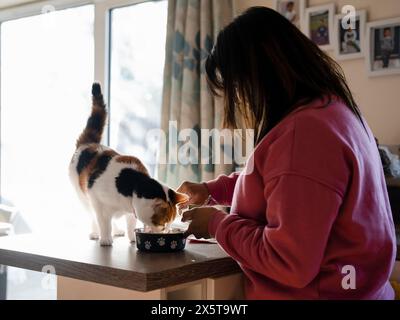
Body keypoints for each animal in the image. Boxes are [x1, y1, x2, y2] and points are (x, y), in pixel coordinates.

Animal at [69, 82, 188, 245]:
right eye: (163, 224)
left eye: (169, 224)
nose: (166, 231)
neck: (133, 184)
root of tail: (89, 143)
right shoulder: (97, 201)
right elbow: (103, 222)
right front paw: (105, 239)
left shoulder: (131, 210)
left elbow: (131, 223)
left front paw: (133, 238)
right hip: (83, 196)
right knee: (93, 216)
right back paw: (96, 233)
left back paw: (117, 230)